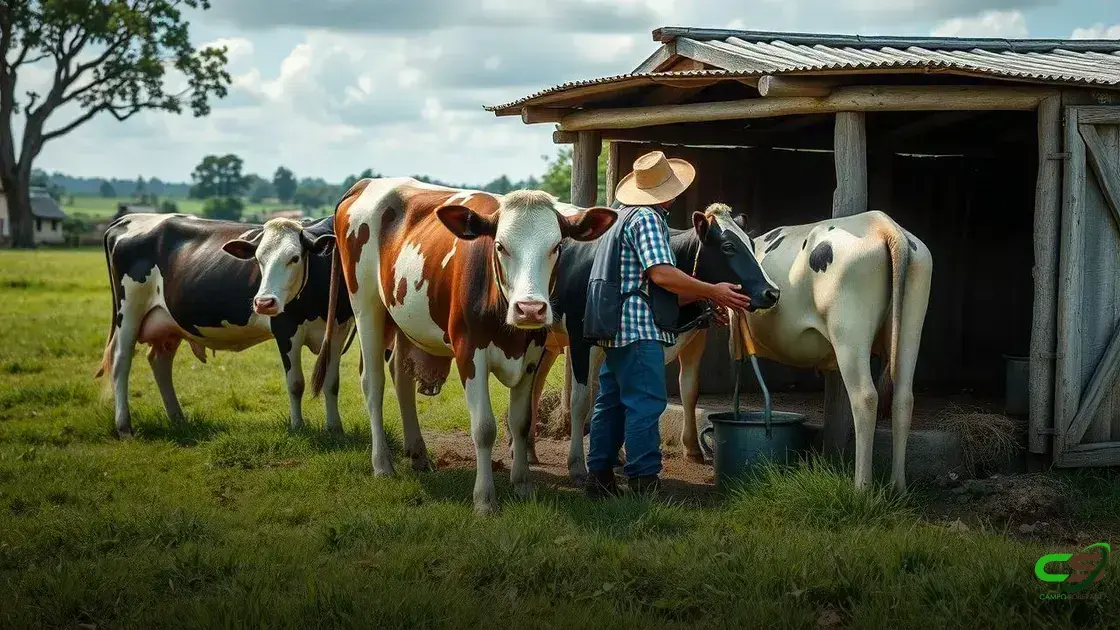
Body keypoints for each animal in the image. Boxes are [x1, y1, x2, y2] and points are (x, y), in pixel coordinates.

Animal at [95, 213, 355, 437]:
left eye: (295, 258)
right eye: (258, 259)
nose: (264, 302)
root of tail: (128, 218)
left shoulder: (338, 330)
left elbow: (332, 383)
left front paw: (335, 429)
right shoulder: (285, 330)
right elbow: (296, 384)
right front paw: (298, 427)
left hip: (167, 324)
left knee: (160, 362)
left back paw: (177, 419)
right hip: (129, 312)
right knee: (121, 361)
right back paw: (124, 427)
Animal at [310, 178, 616, 515]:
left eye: (557, 247)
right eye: (500, 246)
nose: (530, 309)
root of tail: (367, 182)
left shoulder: (532, 355)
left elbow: (521, 421)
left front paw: (523, 484)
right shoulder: (470, 353)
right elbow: (484, 428)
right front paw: (484, 499)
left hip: (403, 319)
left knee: (401, 378)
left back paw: (418, 453)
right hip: (366, 309)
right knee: (373, 384)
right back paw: (382, 464)